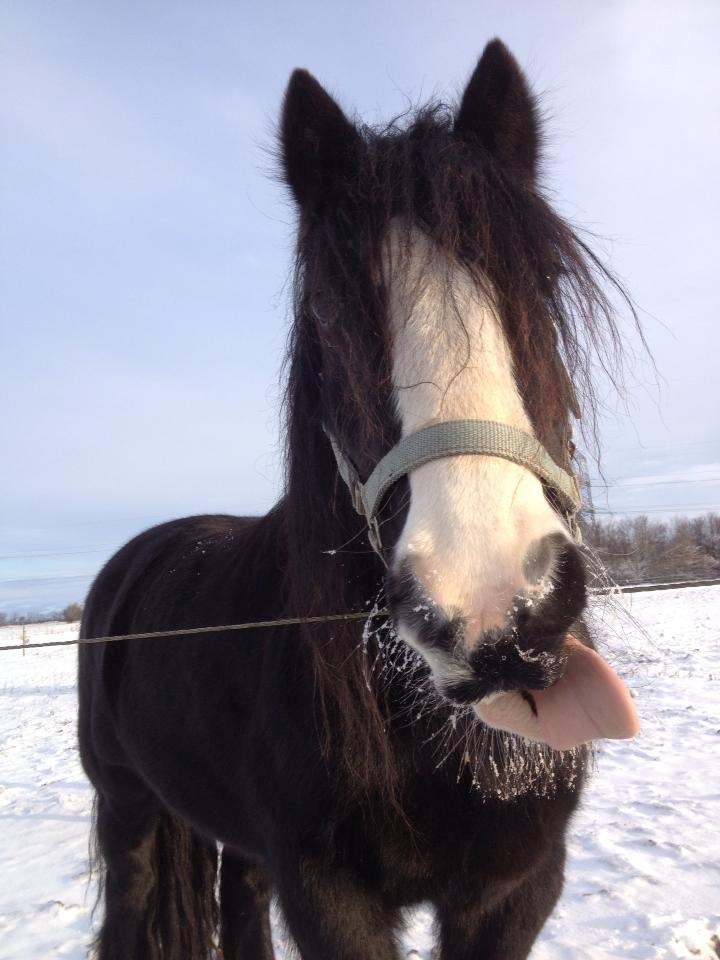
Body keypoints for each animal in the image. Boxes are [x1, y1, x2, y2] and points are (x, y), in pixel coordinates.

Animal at [80, 39, 640, 960]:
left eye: (544, 277)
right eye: (329, 315)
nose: (491, 604)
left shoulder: (517, 891)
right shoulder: (328, 896)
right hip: (127, 808)